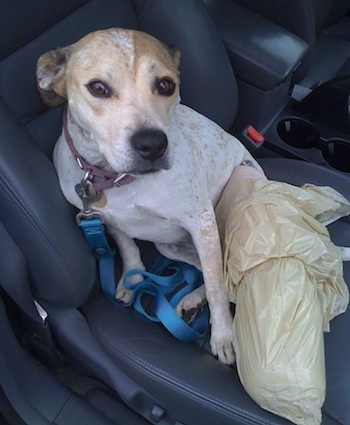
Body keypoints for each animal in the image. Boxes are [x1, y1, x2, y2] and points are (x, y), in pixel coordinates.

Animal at [37, 27, 264, 364]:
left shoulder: (201, 222)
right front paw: (132, 281)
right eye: (98, 87)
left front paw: (223, 336)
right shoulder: (108, 221)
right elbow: (129, 249)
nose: (153, 145)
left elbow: (217, 288)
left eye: (165, 85)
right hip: (169, 246)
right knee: (203, 269)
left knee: (219, 275)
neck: (116, 179)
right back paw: (191, 301)